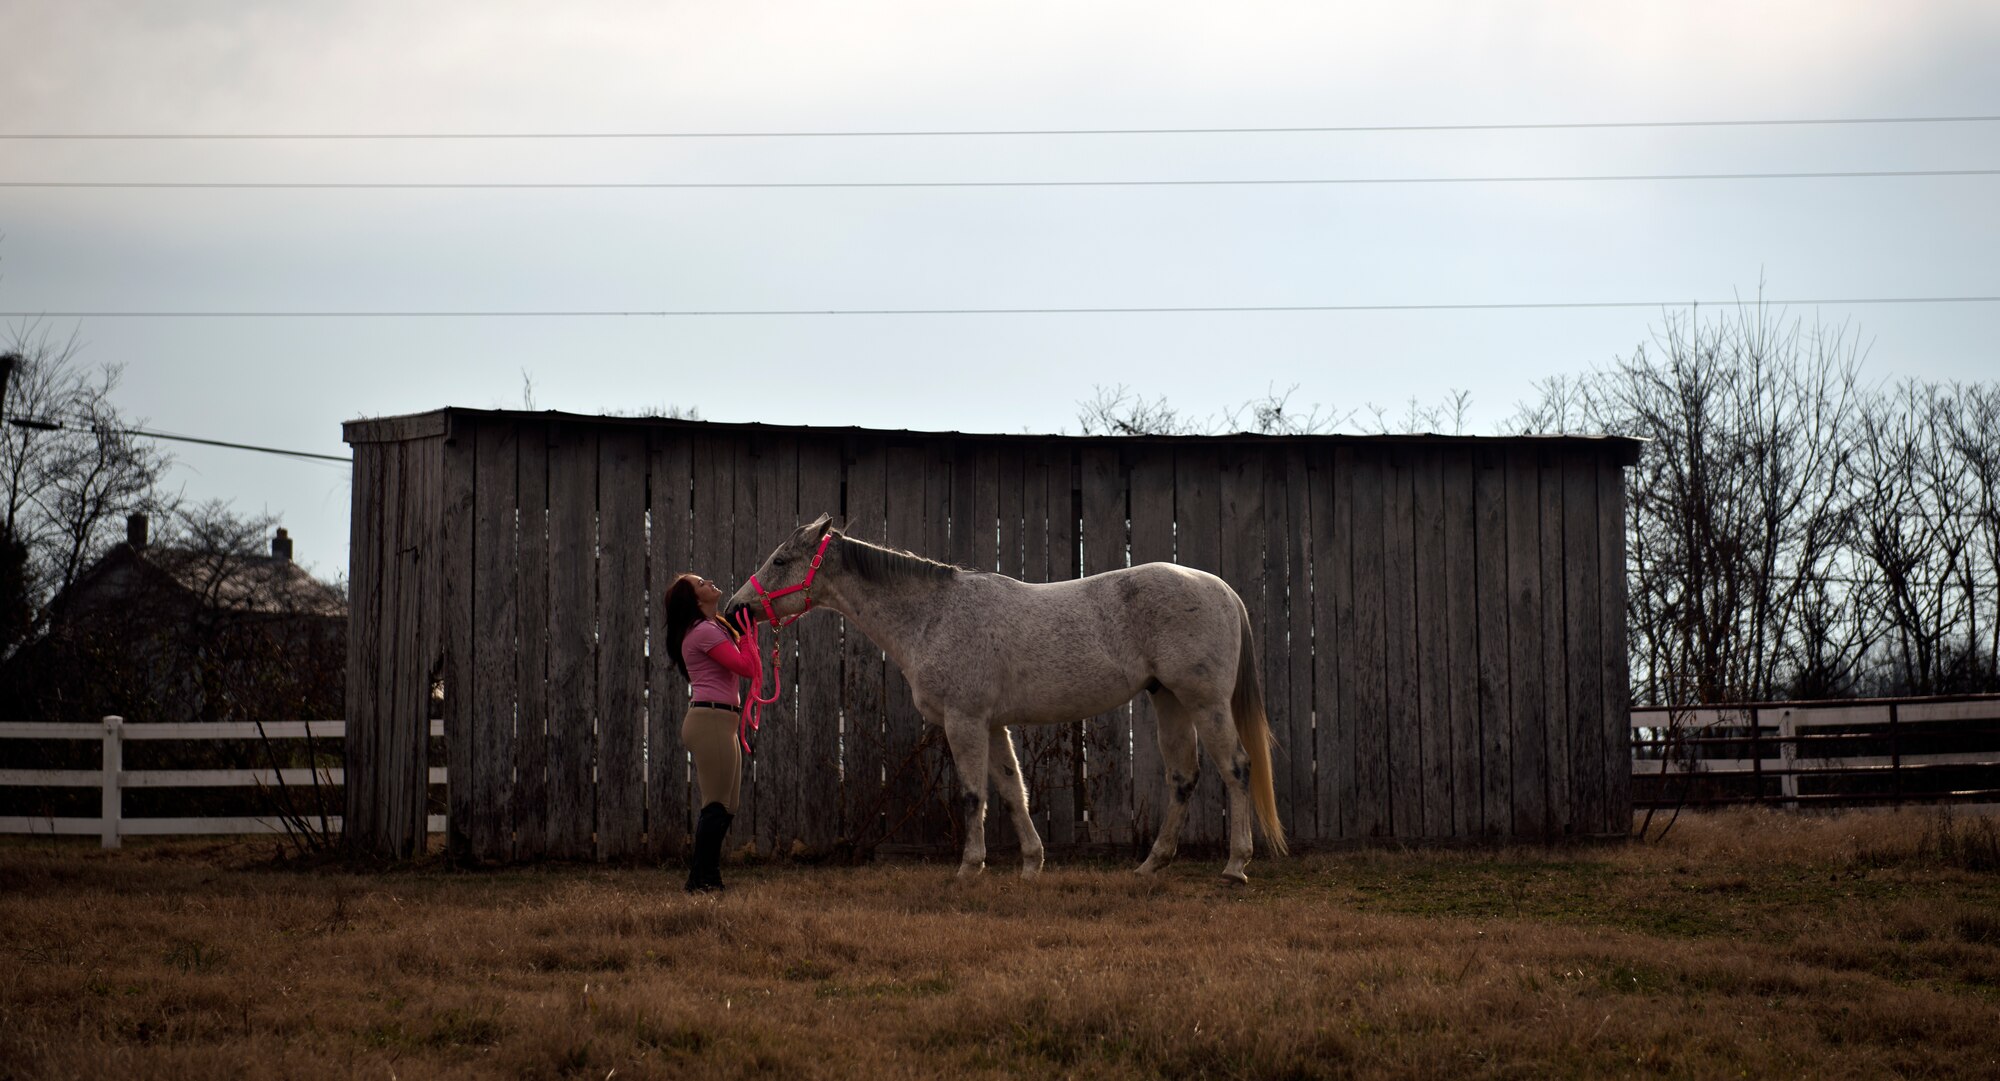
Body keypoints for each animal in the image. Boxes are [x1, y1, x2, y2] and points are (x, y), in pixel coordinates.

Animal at [728, 510, 1288, 880]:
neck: (933, 616)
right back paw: (1152, 864)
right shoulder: (992, 723)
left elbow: (974, 793)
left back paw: (1235, 865)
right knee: (1183, 778)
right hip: (1168, 699)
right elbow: (1012, 790)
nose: (736, 608)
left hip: (1205, 703)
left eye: (781, 560)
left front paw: (968, 869)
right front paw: (1031, 866)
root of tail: (1220, 589)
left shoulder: (965, 720)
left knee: (1237, 769)